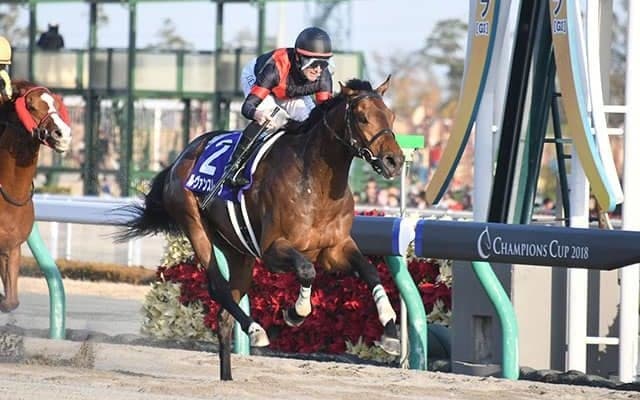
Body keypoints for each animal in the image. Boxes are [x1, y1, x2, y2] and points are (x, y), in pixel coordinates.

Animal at [117, 77, 405, 381]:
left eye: (391, 116)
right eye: (362, 117)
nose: (394, 161)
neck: (316, 184)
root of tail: (181, 156)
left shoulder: (334, 250)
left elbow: (370, 271)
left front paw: (390, 332)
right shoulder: (272, 250)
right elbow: (306, 270)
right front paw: (296, 312)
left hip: (238, 251)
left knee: (224, 315)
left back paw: (228, 376)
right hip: (194, 223)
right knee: (217, 286)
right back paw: (255, 330)